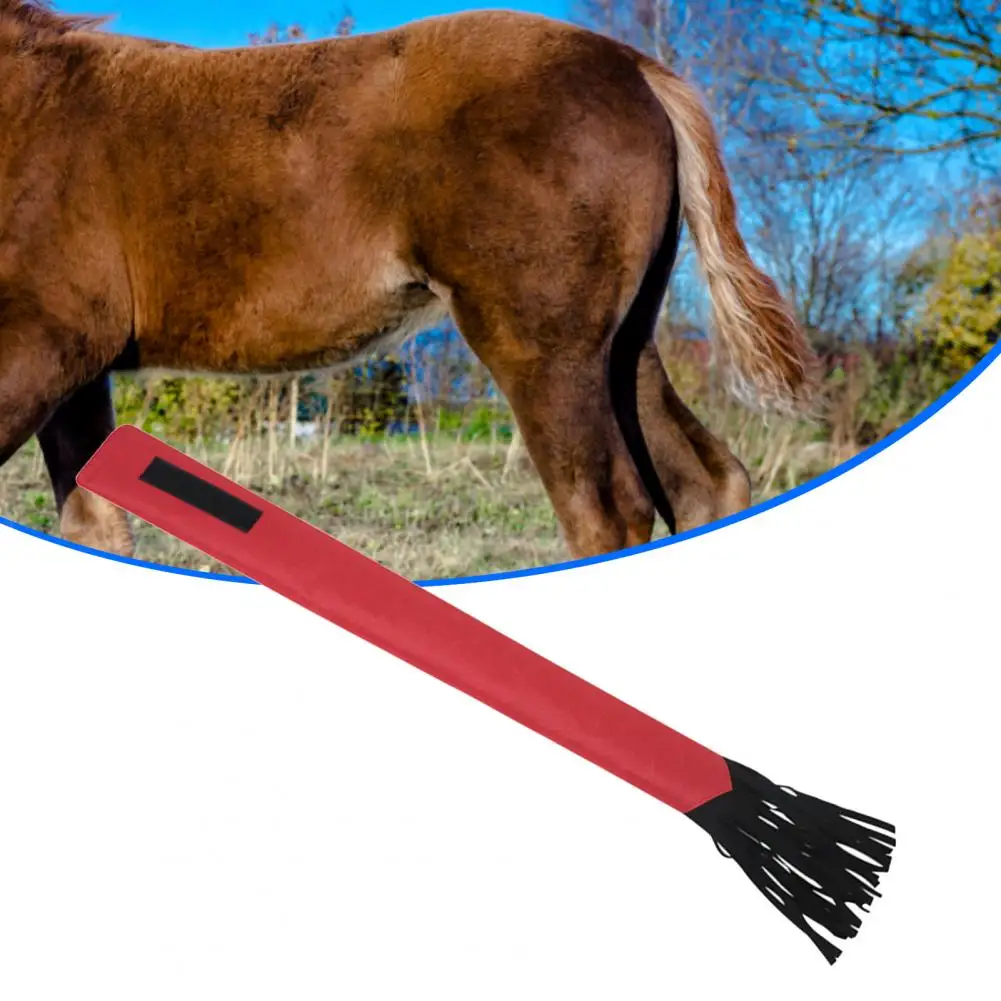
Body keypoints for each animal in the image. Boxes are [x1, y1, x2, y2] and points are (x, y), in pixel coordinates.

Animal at [0, 2, 816, 563]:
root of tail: (634, 66)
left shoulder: (44, 341)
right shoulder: (78, 368)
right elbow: (96, 524)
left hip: (541, 346)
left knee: (606, 512)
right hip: (621, 342)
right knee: (704, 480)